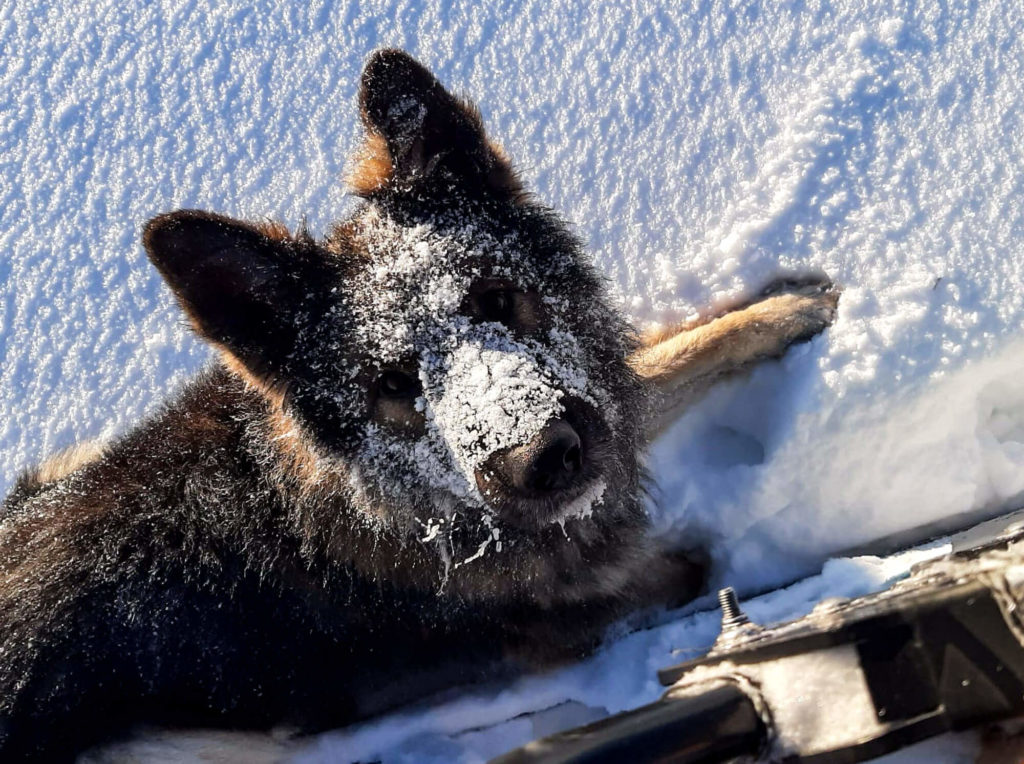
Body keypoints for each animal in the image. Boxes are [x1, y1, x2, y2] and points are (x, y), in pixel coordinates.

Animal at [0, 50, 835, 757]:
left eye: (496, 299)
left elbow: (660, 367)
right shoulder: (584, 606)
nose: (540, 463)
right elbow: (697, 570)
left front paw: (785, 309)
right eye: (394, 385)